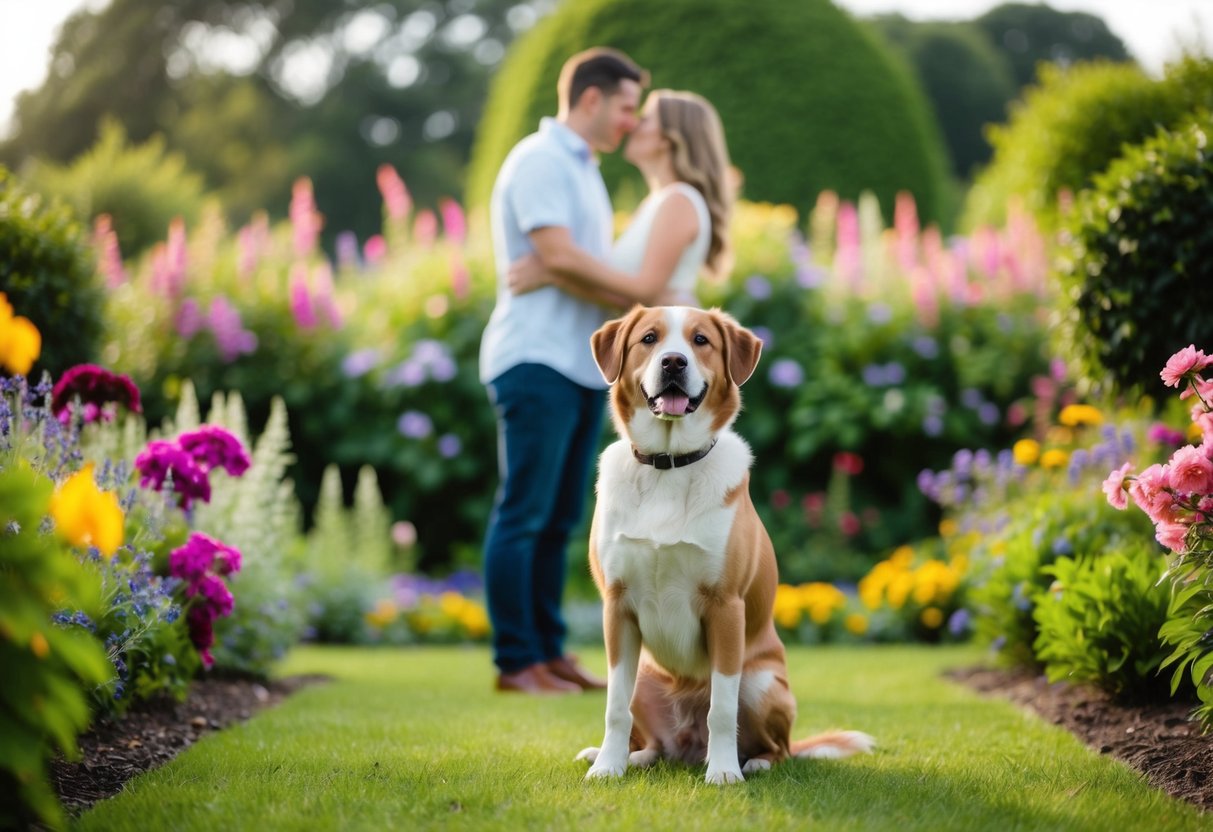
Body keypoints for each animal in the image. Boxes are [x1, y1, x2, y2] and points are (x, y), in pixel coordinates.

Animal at [577, 303, 873, 785]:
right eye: (649, 338)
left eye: (701, 341)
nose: (673, 362)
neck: (668, 465)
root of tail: (686, 748)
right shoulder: (616, 607)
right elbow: (614, 708)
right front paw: (608, 767)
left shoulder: (726, 607)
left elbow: (721, 709)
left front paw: (723, 773)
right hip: (645, 674)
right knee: (653, 742)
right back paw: (630, 757)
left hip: (762, 681)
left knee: (778, 747)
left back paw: (751, 762)